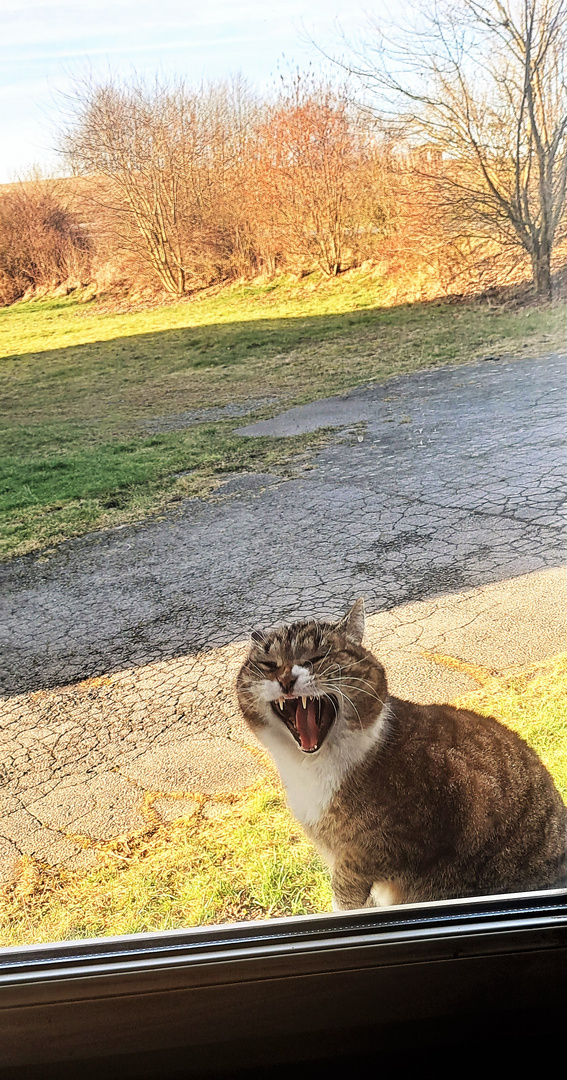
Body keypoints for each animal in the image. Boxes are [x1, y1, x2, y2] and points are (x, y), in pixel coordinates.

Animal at [234, 600, 565, 911]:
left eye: (316, 658)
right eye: (268, 664)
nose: (286, 679)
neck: (312, 767)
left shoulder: (401, 838)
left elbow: (348, 883)